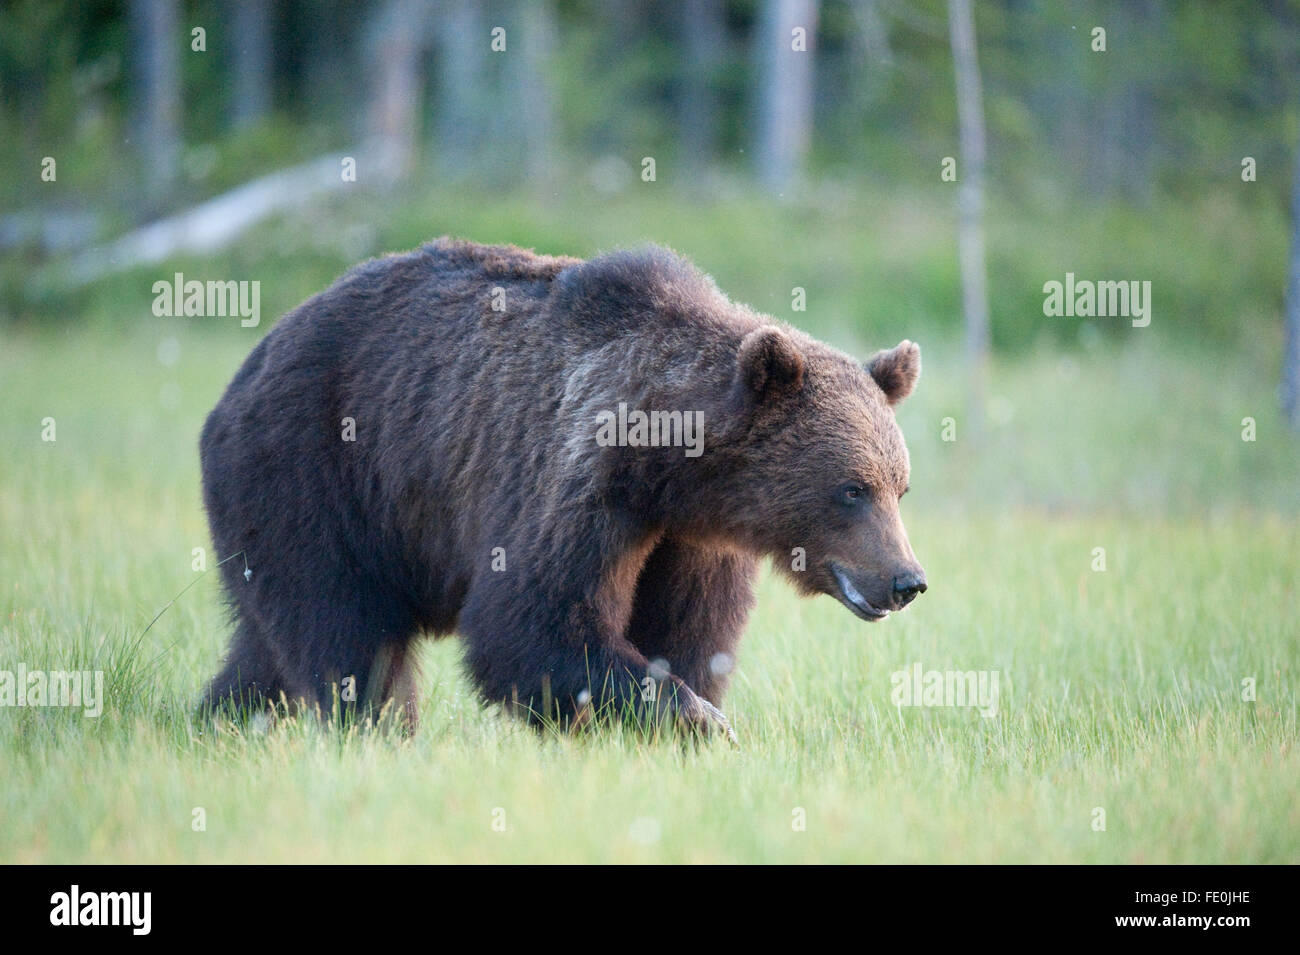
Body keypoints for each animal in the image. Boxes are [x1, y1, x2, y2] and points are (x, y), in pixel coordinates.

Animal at [199, 238, 926, 740]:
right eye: (851, 489)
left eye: (900, 487)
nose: (906, 579)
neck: (670, 467)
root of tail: (249, 365)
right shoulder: (578, 483)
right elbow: (533, 622)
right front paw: (697, 720)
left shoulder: (689, 538)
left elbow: (687, 629)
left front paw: (694, 707)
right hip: (315, 472)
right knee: (345, 629)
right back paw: (376, 728)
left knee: (266, 644)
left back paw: (221, 720)